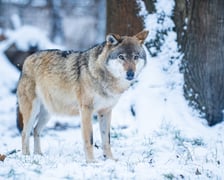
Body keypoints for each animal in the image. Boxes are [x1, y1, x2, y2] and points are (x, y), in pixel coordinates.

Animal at [16, 29, 149, 163]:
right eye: (121, 57)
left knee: (35, 130)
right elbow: (89, 139)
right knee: (24, 132)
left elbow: (107, 139)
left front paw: (110, 159)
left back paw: (38, 155)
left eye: (136, 57)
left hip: (48, 113)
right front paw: (91, 161)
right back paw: (26, 157)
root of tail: (27, 59)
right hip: (32, 112)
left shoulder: (106, 111)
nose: (131, 74)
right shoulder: (86, 110)